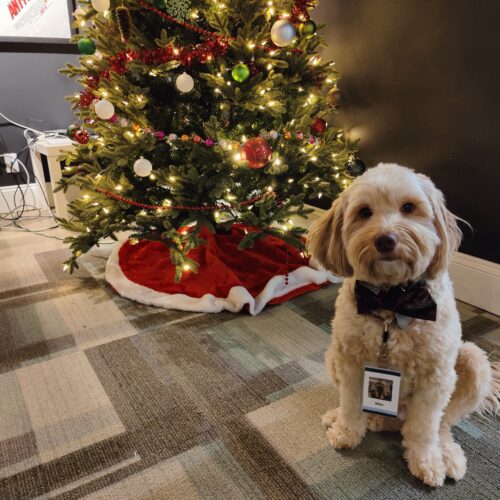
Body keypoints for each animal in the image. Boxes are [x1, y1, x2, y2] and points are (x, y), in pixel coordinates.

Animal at [307, 163, 500, 487]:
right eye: (364, 212)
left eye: (408, 207)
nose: (386, 239)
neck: (391, 300)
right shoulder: (350, 362)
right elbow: (350, 403)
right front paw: (346, 431)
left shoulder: (436, 378)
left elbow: (425, 427)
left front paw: (426, 461)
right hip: (332, 354)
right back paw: (345, 417)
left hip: (473, 361)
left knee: (442, 424)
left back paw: (446, 452)